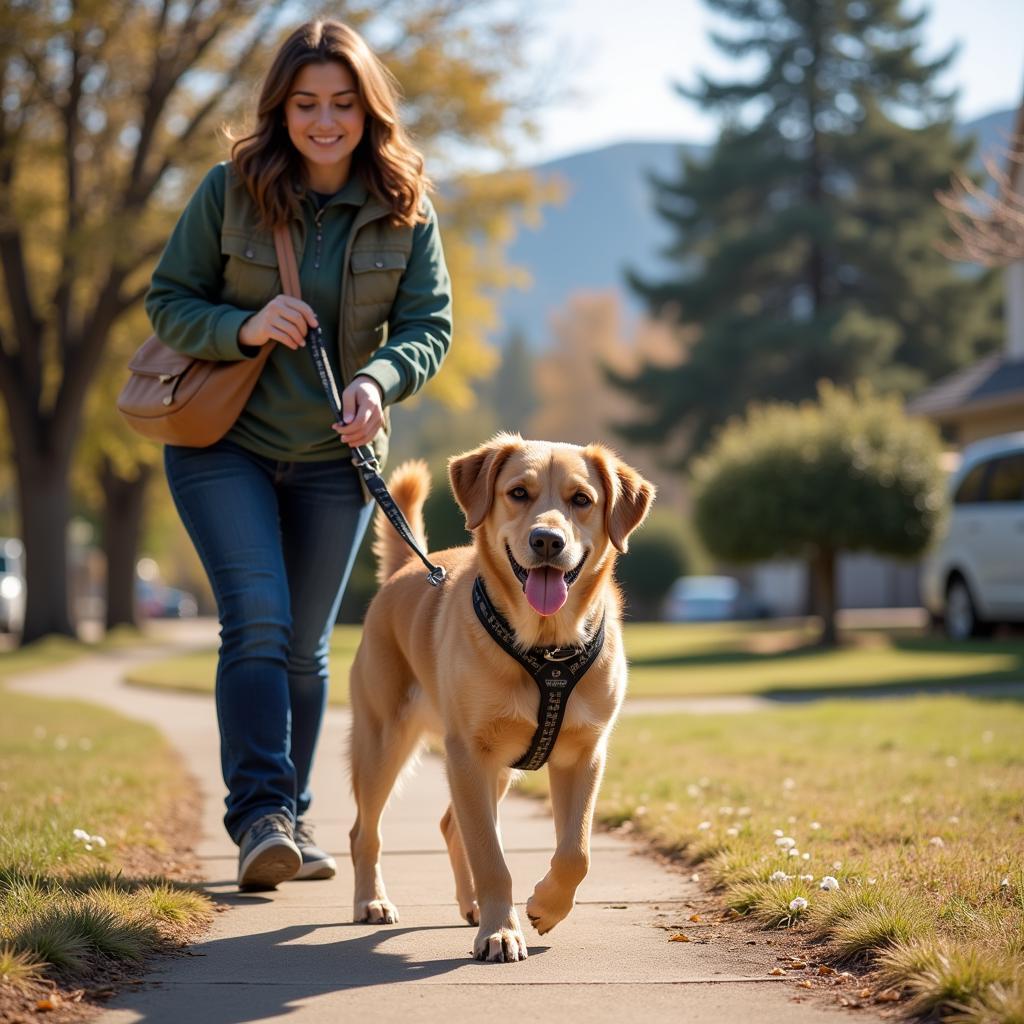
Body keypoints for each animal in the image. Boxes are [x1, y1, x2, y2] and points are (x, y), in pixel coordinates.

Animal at [350, 436, 655, 962]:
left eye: (581, 499)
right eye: (518, 492)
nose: (548, 540)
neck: (548, 647)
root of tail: (407, 567)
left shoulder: (584, 754)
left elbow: (576, 852)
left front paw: (546, 907)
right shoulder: (470, 754)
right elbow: (491, 856)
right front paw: (501, 931)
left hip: (496, 768)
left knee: (452, 825)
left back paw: (471, 904)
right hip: (383, 742)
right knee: (365, 831)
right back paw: (372, 901)